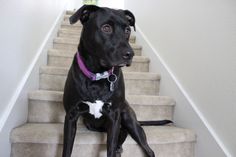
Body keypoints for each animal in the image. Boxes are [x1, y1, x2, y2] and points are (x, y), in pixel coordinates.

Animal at [61, 4, 172, 157]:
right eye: (106, 28)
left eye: (127, 30)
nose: (130, 54)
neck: (98, 76)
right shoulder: (71, 116)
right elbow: (67, 149)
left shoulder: (114, 117)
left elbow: (111, 148)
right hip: (93, 125)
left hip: (129, 120)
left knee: (146, 148)